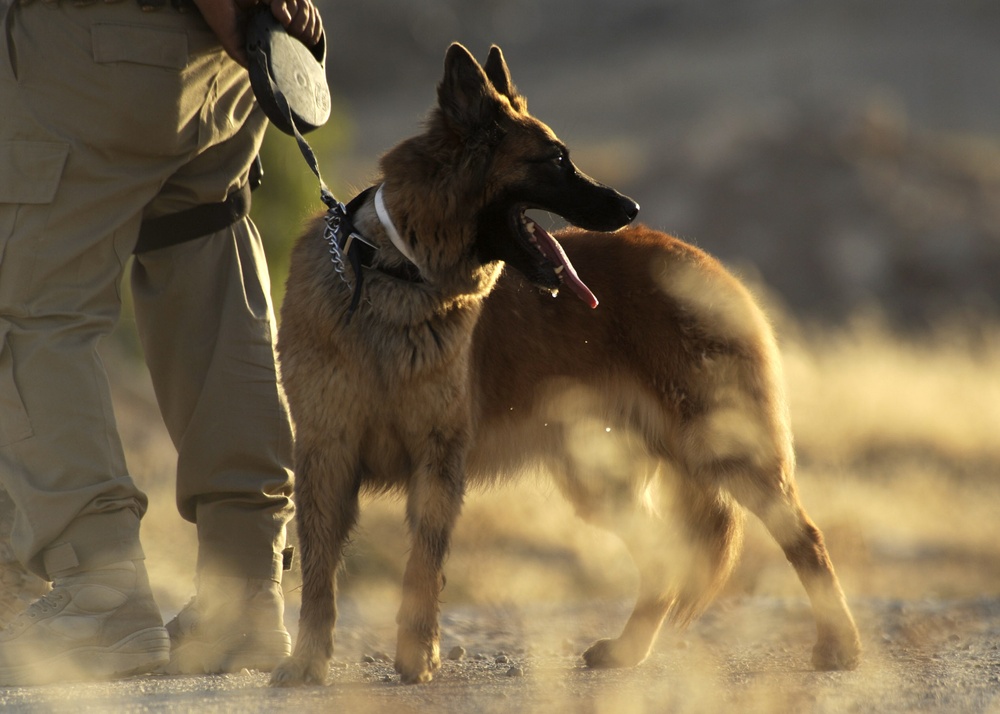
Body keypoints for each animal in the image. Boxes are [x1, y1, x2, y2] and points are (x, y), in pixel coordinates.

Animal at [270, 43, 864, 684]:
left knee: (805, 537)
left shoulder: (436, 462)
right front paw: (307, 661)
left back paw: (840, 644)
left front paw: (417, 656)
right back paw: (627, 650)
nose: (631, 206)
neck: (392, 275)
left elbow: (422, 570)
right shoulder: (326, 457)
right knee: (666, 563)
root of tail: (707, 266)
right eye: (555, 161)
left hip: (723, 453)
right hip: (600, 483)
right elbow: (318, 576)